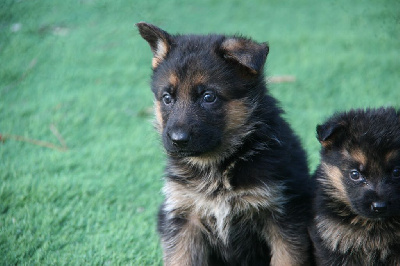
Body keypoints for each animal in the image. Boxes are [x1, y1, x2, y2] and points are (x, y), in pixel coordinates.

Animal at [138, 22, 312, 266]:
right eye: (167, 98)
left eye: (208, 97)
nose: (177, 140)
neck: (218, 166)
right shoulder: (183, 219)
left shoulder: (283, 217)